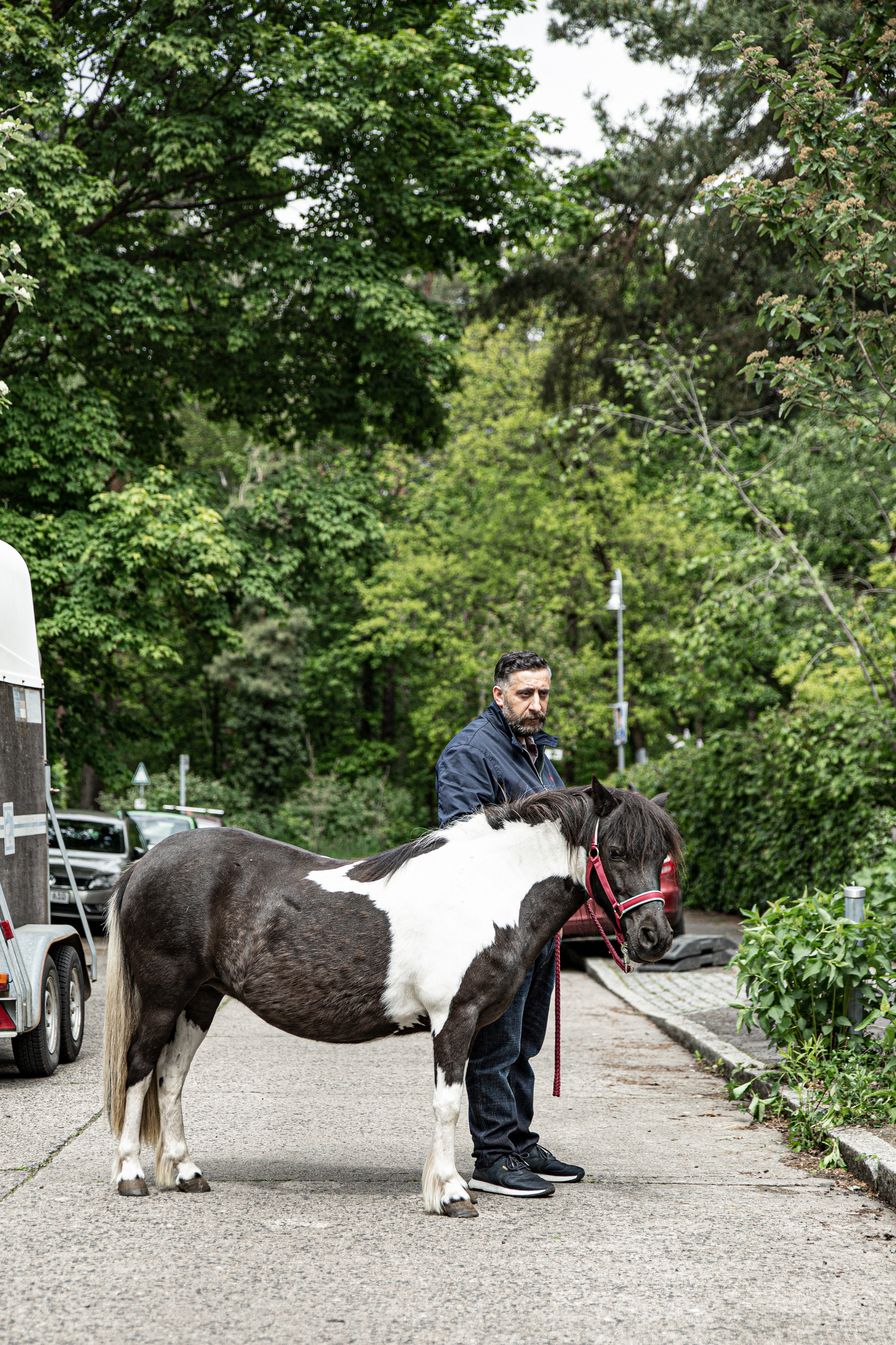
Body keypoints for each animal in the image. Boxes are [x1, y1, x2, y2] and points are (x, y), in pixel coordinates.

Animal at [103, 778, 680, 1218]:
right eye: (616, 852)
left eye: (660, 855)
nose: (654, 937)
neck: (484, 889)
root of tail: (144, 863)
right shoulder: (455, 1017)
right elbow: (449, 1103)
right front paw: (452, 1195)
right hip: (164, 997)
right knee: (139, 1067)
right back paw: (131, 1174)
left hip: (200, 1000)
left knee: (171, 1076)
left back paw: (185, 1171)